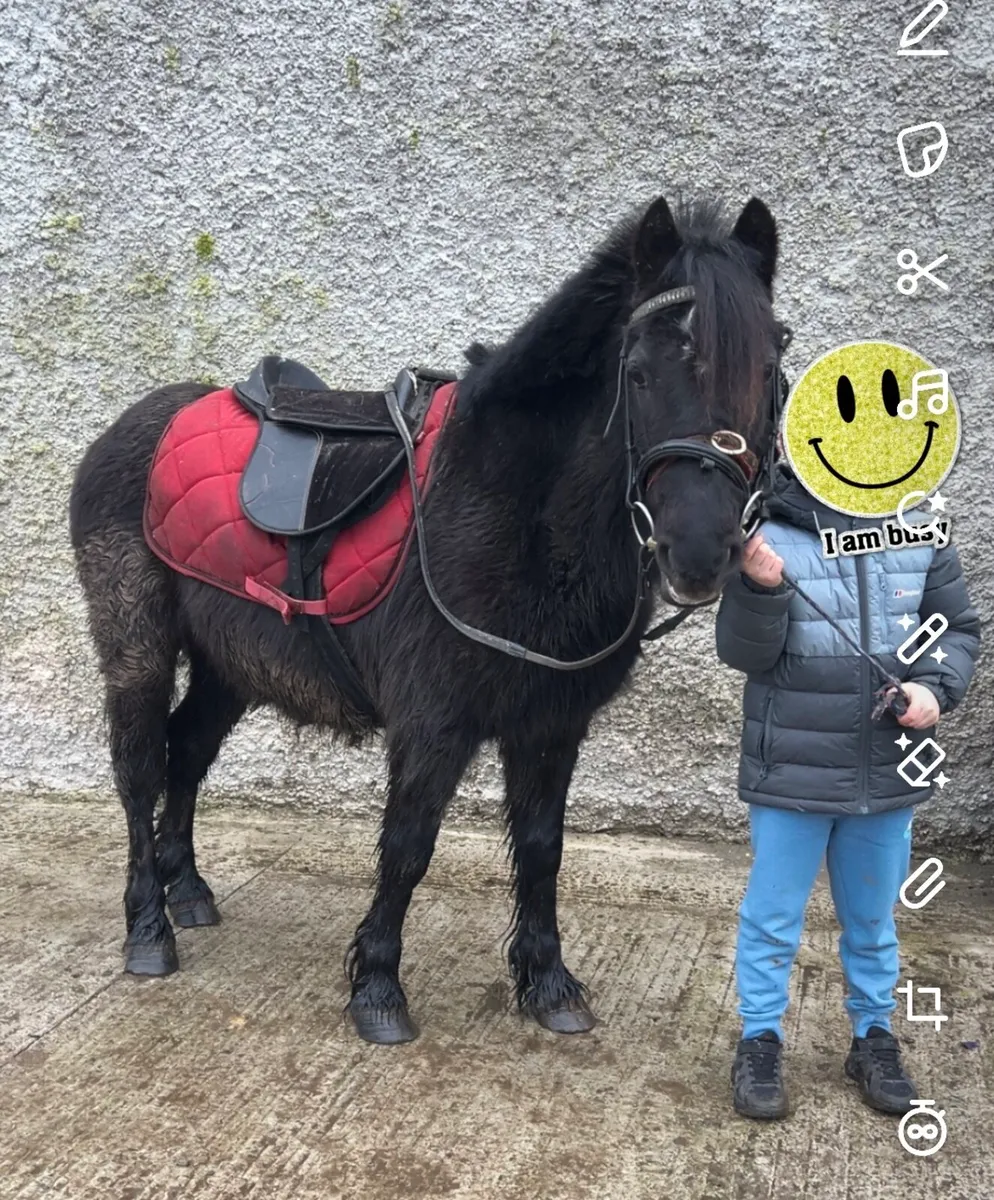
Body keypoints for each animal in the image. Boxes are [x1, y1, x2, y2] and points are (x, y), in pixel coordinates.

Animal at [69, 194, 783, 1044]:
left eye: (770, 370)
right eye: (638, 374)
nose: (700, 551)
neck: (513, 509)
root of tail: (131, 425)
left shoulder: (552, 724)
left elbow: (542, 848)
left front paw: (548, 982)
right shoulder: (434, 721)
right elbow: (408, 846)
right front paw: (377, 987)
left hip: (231, 664)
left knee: (188, 753)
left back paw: (191, 892)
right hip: (137, 647)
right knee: (142, 768)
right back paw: (149, 926)